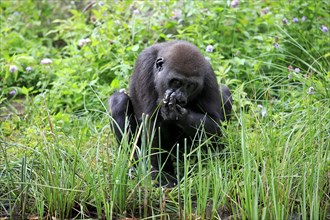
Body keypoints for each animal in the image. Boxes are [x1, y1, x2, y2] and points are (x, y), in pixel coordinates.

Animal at [108, 40, 232, 186]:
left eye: (190, 85)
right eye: (176, 81)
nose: (180, 99)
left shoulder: (208, 73)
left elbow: (214, 123)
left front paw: (179, 115)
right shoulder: (145, 63)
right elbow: (153, 124)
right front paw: (163, 175)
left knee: (225, 92)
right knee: (119, 101)